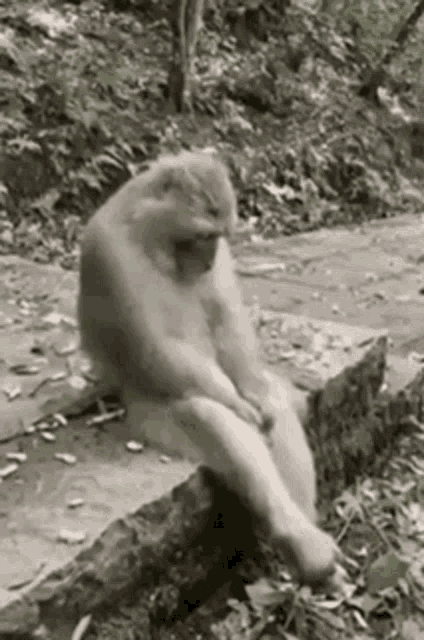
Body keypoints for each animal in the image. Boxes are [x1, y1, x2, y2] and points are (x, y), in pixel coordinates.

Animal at [78, 150, 339, 586]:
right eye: (202, 236)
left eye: (221, 236)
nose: (208, 259)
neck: (147, 233)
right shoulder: (110, 253)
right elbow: (156, 347)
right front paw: (239, 408)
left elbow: (228, 327)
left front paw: (255, 399)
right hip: (150, 420)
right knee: (205, 411)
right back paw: (305, 546)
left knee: (269, 399)